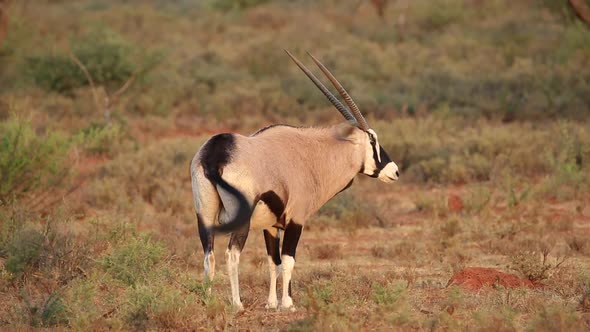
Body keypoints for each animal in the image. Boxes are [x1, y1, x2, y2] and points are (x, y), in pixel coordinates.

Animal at [192, 50, 400, 312]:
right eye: (372, 140)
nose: (395, 171)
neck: (312, 154)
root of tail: (214, 155)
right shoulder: (296, 218)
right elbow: (289, 260)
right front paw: (288, 303)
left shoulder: (271, 226)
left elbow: (274, 262)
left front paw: (272, 303)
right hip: (241, 221)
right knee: (232, 255)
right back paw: (237, 304)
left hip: (205, 214)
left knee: (208, 255)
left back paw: (207, 301)